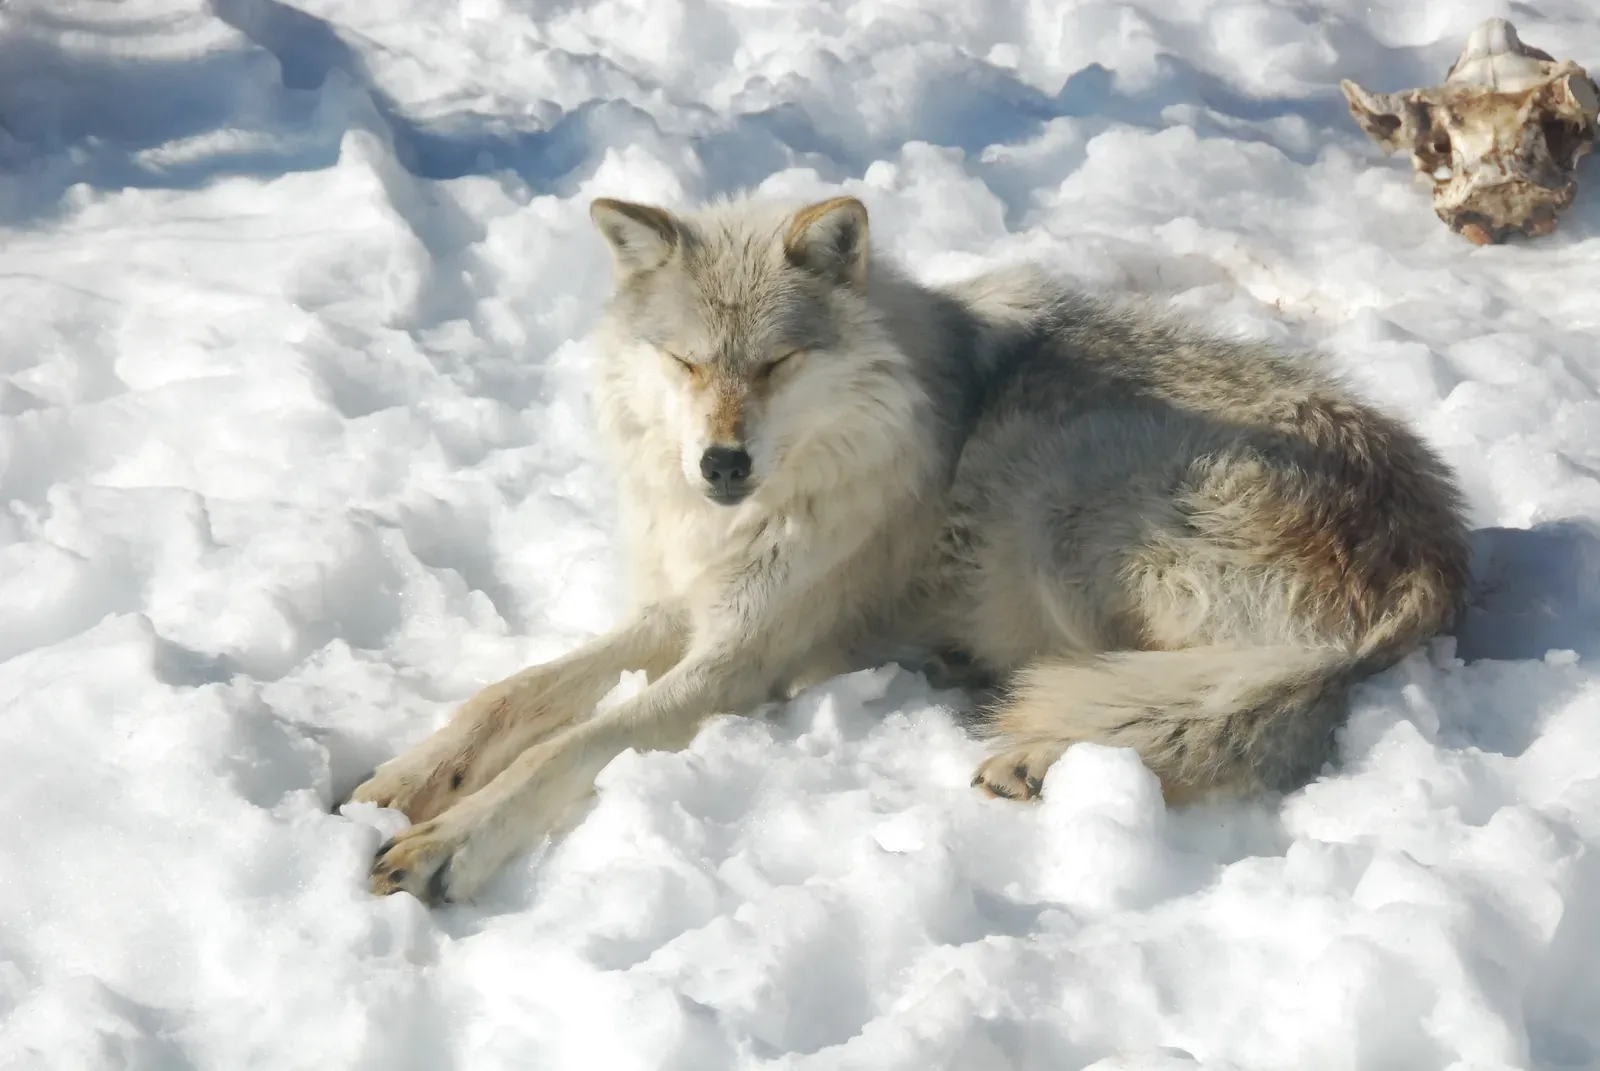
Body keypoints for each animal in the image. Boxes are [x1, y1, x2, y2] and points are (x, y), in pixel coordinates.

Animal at [352, 193, 1471, 904]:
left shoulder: (739, 656)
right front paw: (403, 782)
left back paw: (1028, 752)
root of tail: (1436, 555)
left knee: (1217, 700)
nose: (719, 462)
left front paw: (448, 844)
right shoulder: (687, 606)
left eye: (777, 361)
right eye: (684, 362)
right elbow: (511, 695)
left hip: (1057, 498)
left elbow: (573, 741)